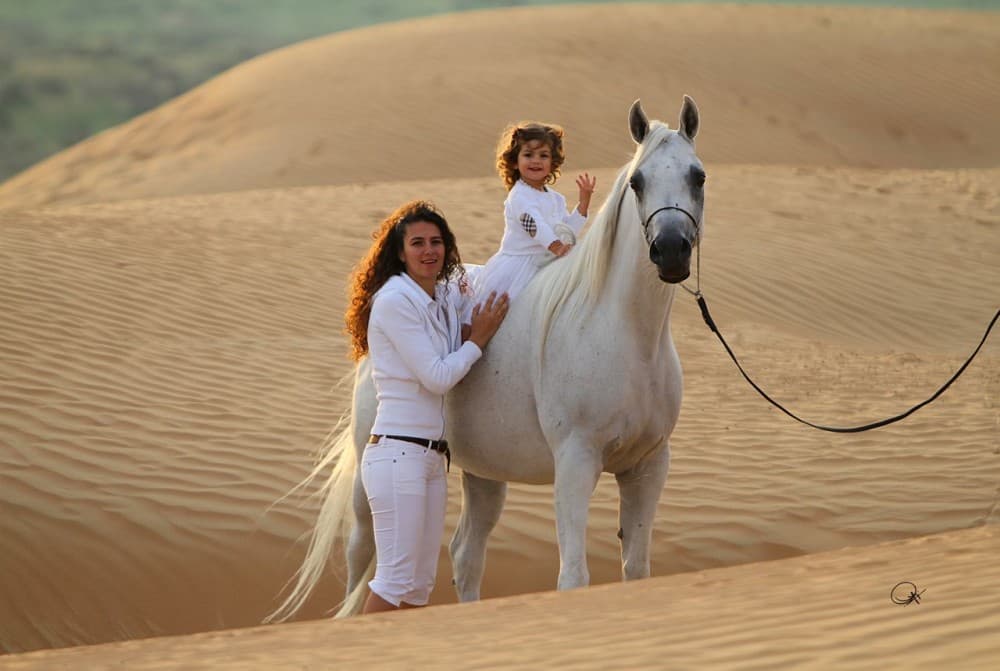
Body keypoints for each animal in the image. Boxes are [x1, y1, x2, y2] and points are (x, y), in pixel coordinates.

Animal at [267, 96, 705, 621]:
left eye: (698, 176)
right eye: (638, 182)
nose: (671, 251)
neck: (620, 330)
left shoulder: (648, 466)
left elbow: (636, 571)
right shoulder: (576, 462)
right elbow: (574, 578)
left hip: (484, 475)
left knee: (465, 555)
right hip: (368, 486)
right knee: (362, 558)